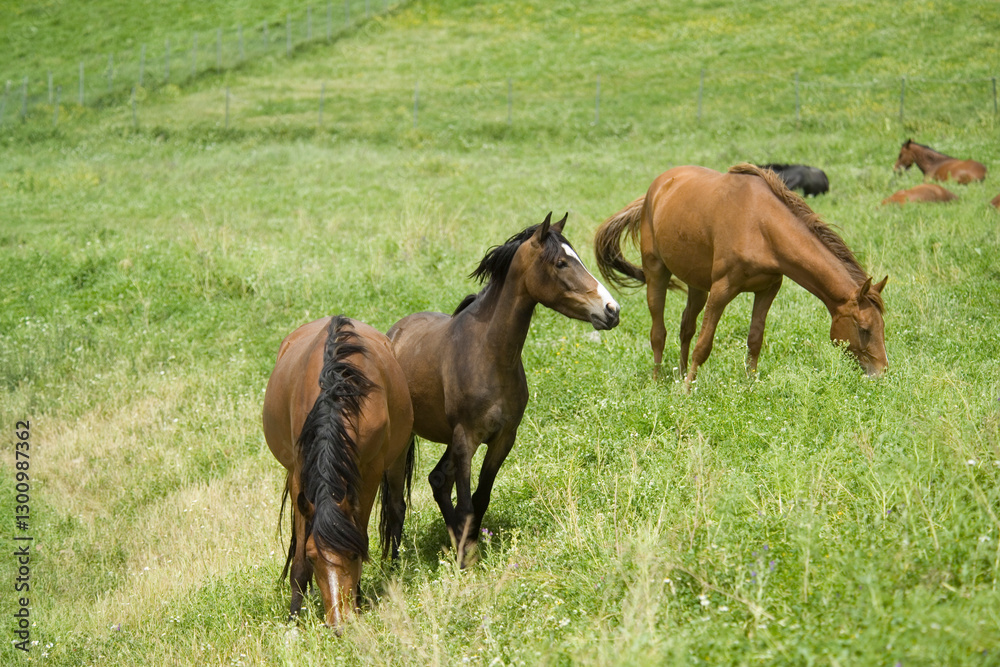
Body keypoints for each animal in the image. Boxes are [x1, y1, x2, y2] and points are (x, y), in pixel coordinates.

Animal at [262, 315, 414, 631]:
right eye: (313, 557)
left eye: (354, 554)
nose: (339, 623)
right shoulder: (299, 475)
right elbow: (298, 557)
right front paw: (294, 617)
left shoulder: (370, 472)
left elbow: (362, 529)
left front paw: (358, 597)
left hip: (397, 457)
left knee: (396, 508)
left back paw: (394, 567)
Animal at [387, 213, 620, 566]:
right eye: (561, 263)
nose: (611, 310)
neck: (489, 354)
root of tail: (392, 335)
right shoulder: (466, 439)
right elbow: (466, 502)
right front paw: (466, 558)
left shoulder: (502, 439)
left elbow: (480, 498)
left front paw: (468, 545)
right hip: (405, 443)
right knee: (396, 502)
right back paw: (395, 562)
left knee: (437, 481)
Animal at [594, 163, 888, 387]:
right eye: (864, 329)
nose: (882, 372)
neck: (761, 226)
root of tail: (654, 190)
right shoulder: (722, 290)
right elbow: (704, 344)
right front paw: (688, 390)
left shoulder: (768, 289)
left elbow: (754, 340)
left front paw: (749, 385)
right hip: (657, 272)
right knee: (659, 332)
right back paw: (658, 381)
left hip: (697, 285)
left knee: (685, 328)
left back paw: (680, 373)